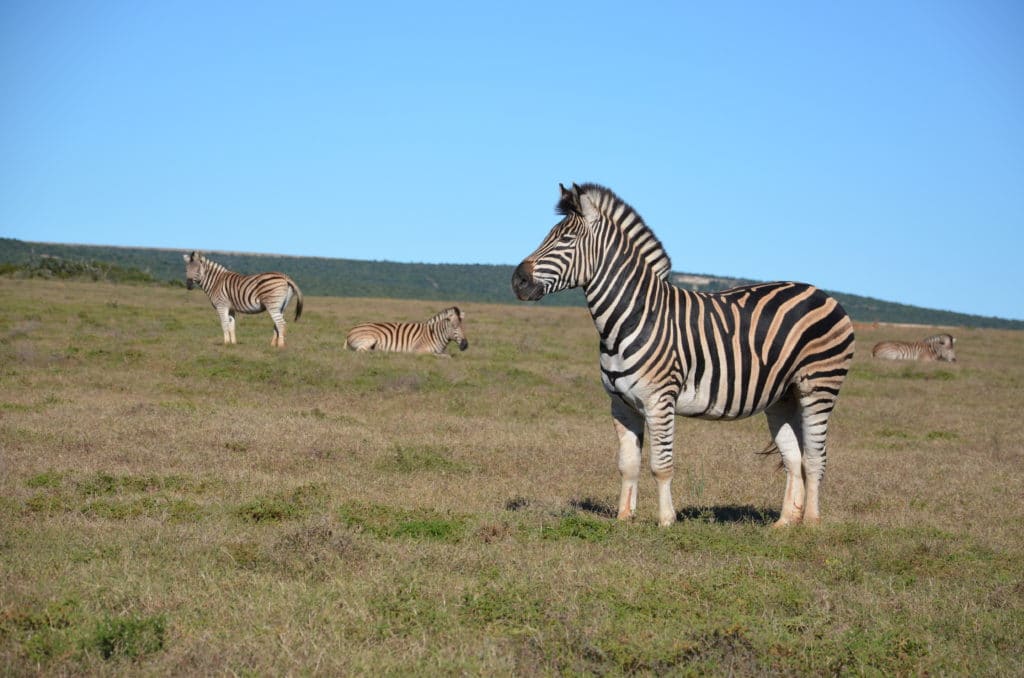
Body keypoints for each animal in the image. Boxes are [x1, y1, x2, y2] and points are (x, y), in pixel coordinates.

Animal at [512, 184, 856, 532]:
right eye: (549, 236)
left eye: (566, 239)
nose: (518, 281)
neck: (634, 317)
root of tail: (820, 293)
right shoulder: (621, 404)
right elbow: (628, 464)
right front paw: (624, 517)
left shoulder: (659, 400)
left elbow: (661, 465)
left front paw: (666, 520)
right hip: (783, 397)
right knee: (793, 457)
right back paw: (785, 523)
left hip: (819, 387)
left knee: (814, 458)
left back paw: (811, 522)